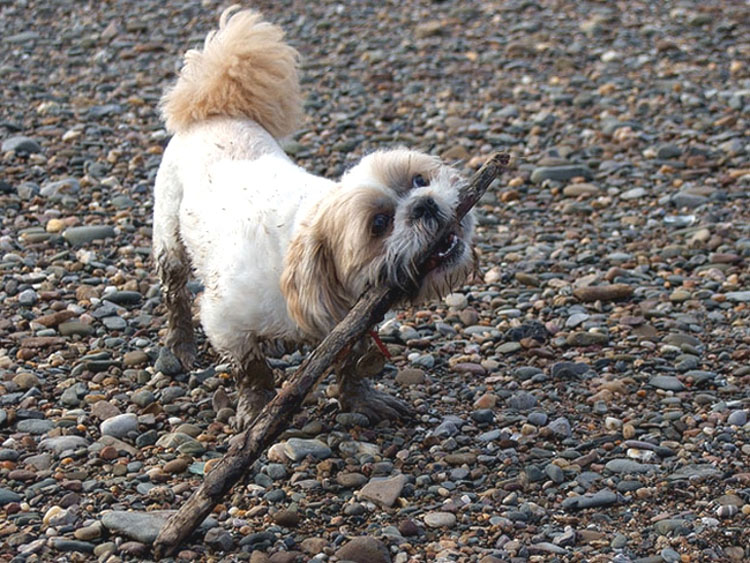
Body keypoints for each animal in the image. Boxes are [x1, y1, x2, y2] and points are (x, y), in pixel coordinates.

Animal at [153, 6, 476, 428]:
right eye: (379, 224)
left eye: (420, 180)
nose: (424, 204)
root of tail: (213, 114)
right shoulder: (227, 322)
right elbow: (252, 370)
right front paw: (256, 409)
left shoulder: (352, 320)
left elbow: (350, 363)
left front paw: (360, 399)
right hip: (169, 240)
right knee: (174, 294)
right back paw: (180, 345)